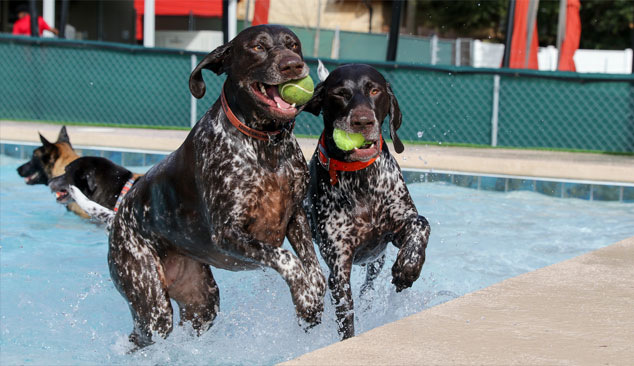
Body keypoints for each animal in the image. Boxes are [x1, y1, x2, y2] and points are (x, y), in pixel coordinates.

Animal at [103, 25, 326, 348]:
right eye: (258, 47)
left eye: (293, 45)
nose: (293, 65)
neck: (265, 145)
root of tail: (118, 217)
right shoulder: (228, 233)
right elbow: (288, 260)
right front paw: (305, 295)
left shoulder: (295, 216)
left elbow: (314, 267)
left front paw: (314, 293)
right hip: (152, 306)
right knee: (141, 335)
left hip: (201, 302)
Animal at [302, 63, 430, 340]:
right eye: (340, 93)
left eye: (374, 90)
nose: (362, 121)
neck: (359, 180)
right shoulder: (339, 267)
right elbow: (346, 318)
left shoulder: (397, 228)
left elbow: (421, 224)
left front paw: (408, 267)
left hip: (376, 259)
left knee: (369, 284)